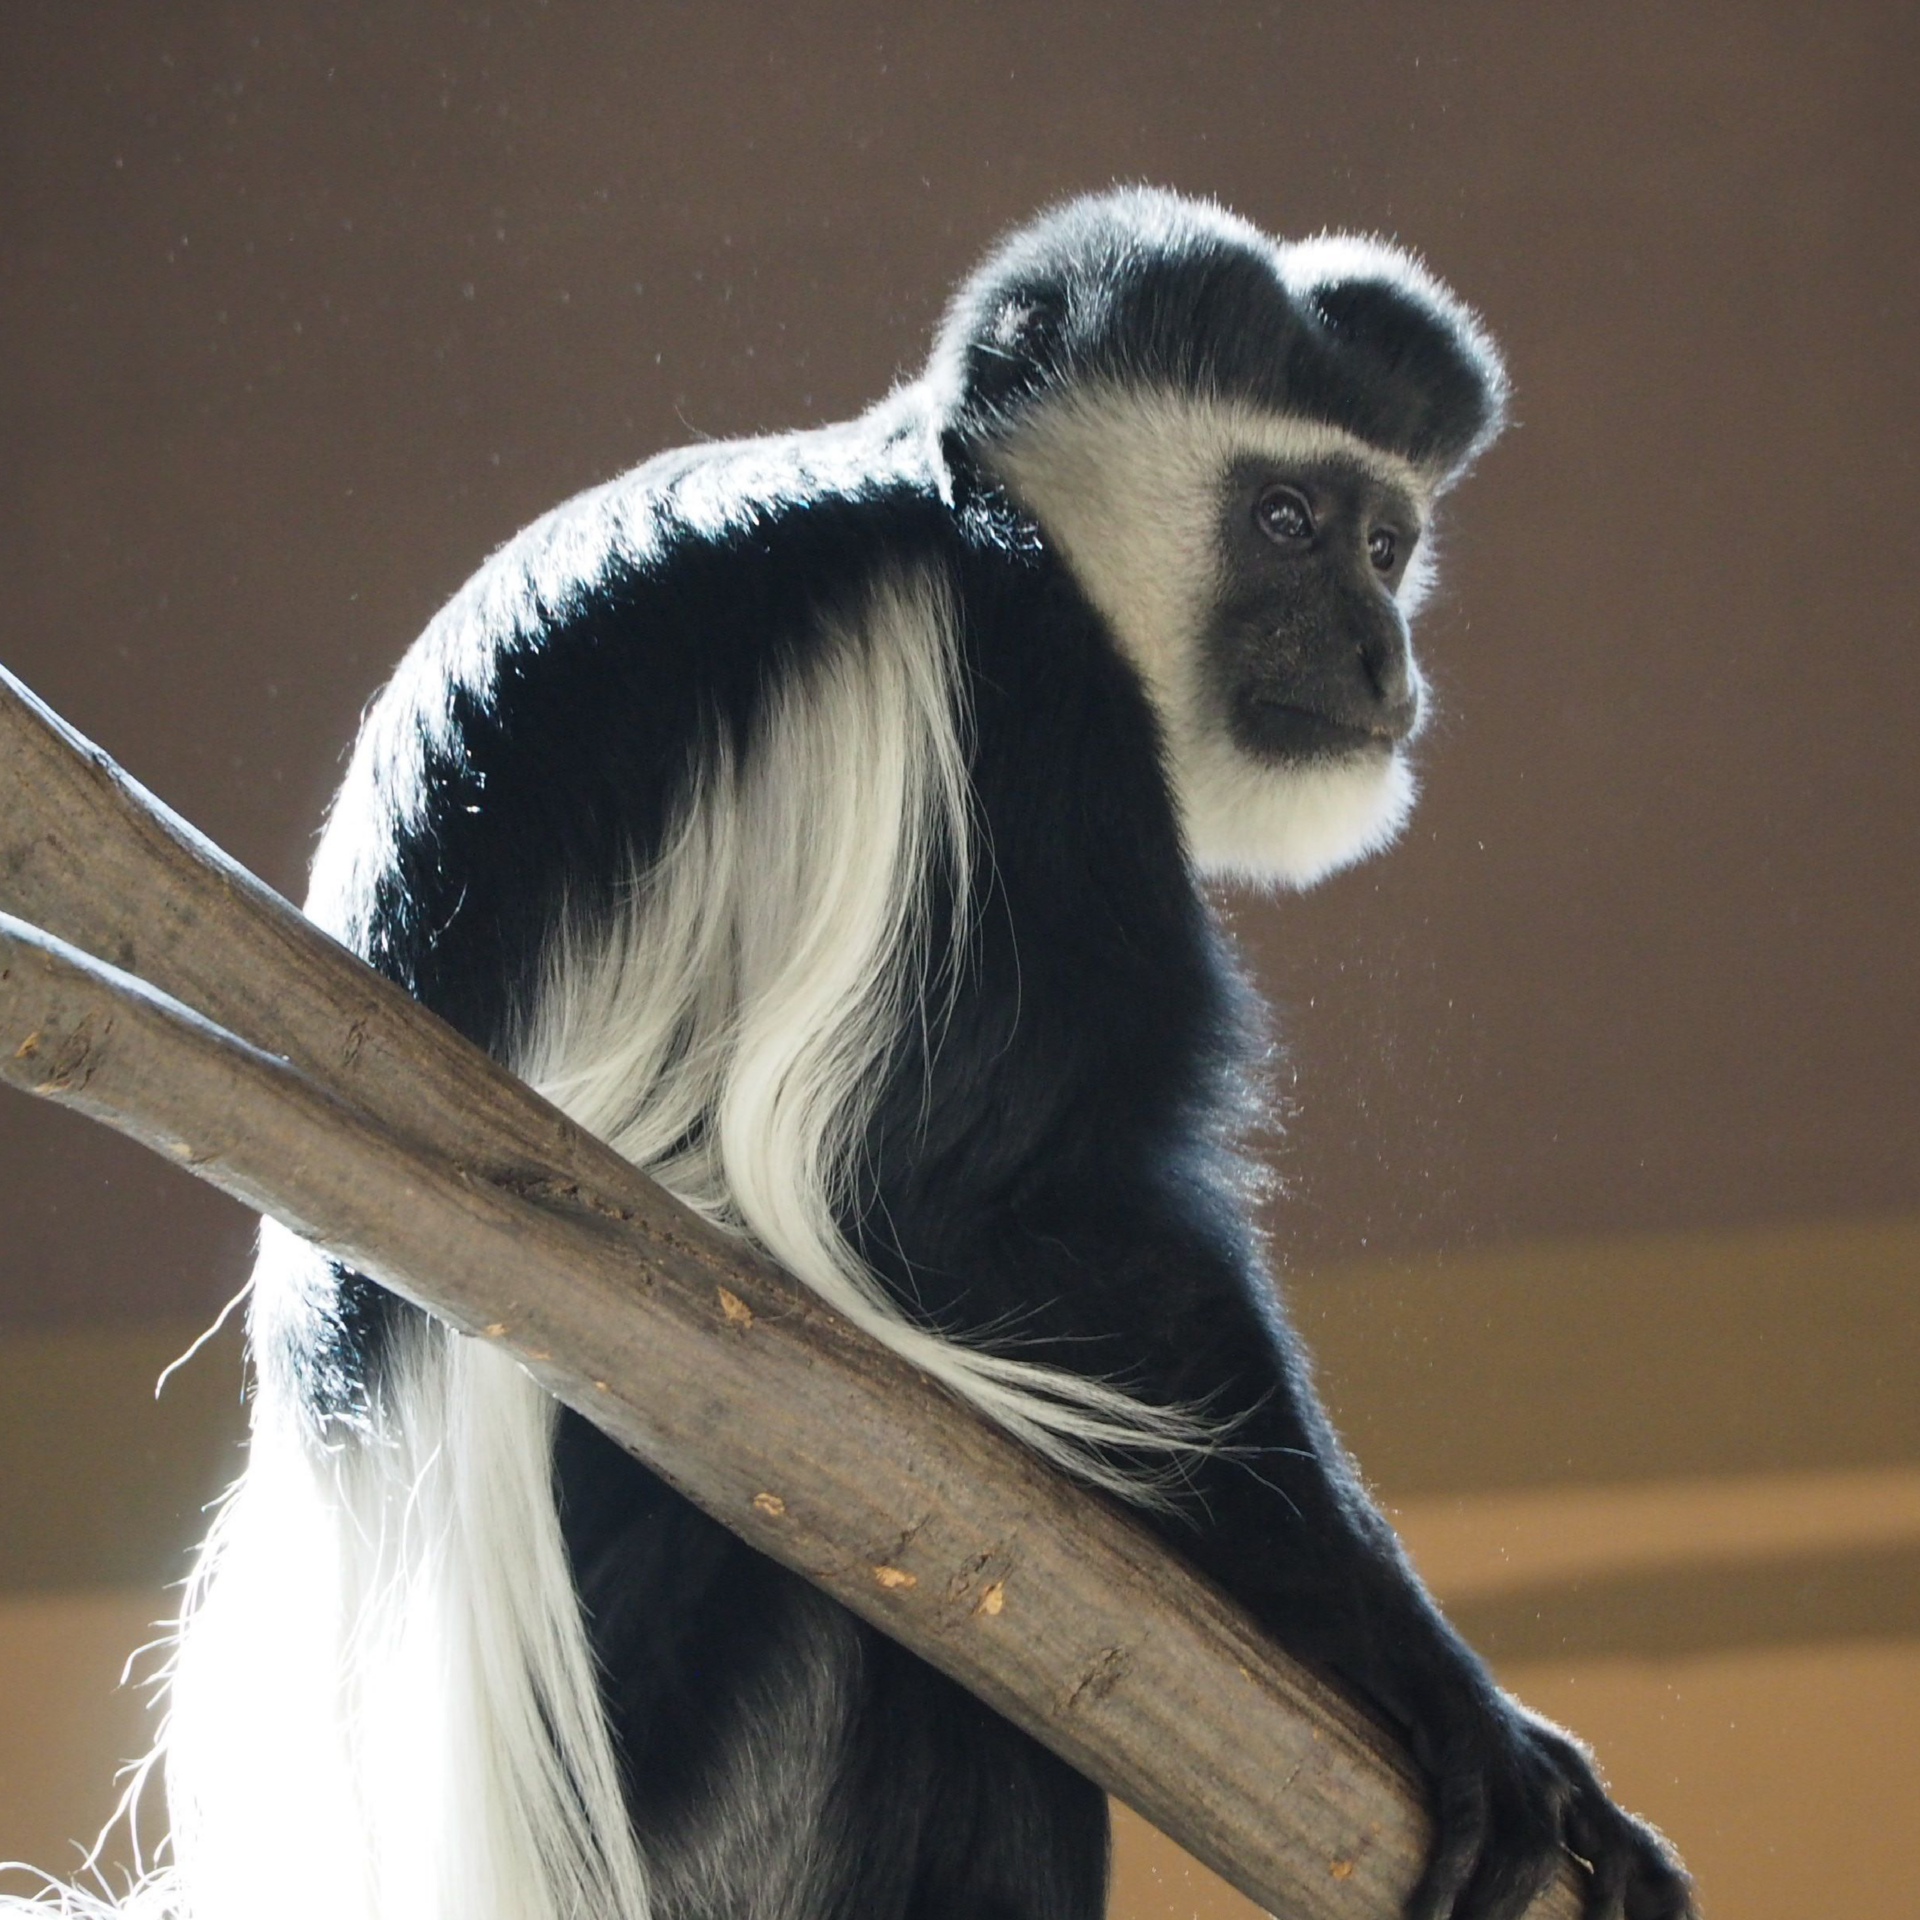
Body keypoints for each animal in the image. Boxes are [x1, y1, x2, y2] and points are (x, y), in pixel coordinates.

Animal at [112, 191, 1689, 1920]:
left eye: (1390, 545)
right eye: (1287, 521)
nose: (1381, 667)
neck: (974, 496)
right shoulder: (1010, 691)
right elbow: (958, 1207)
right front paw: (1453, 1705)